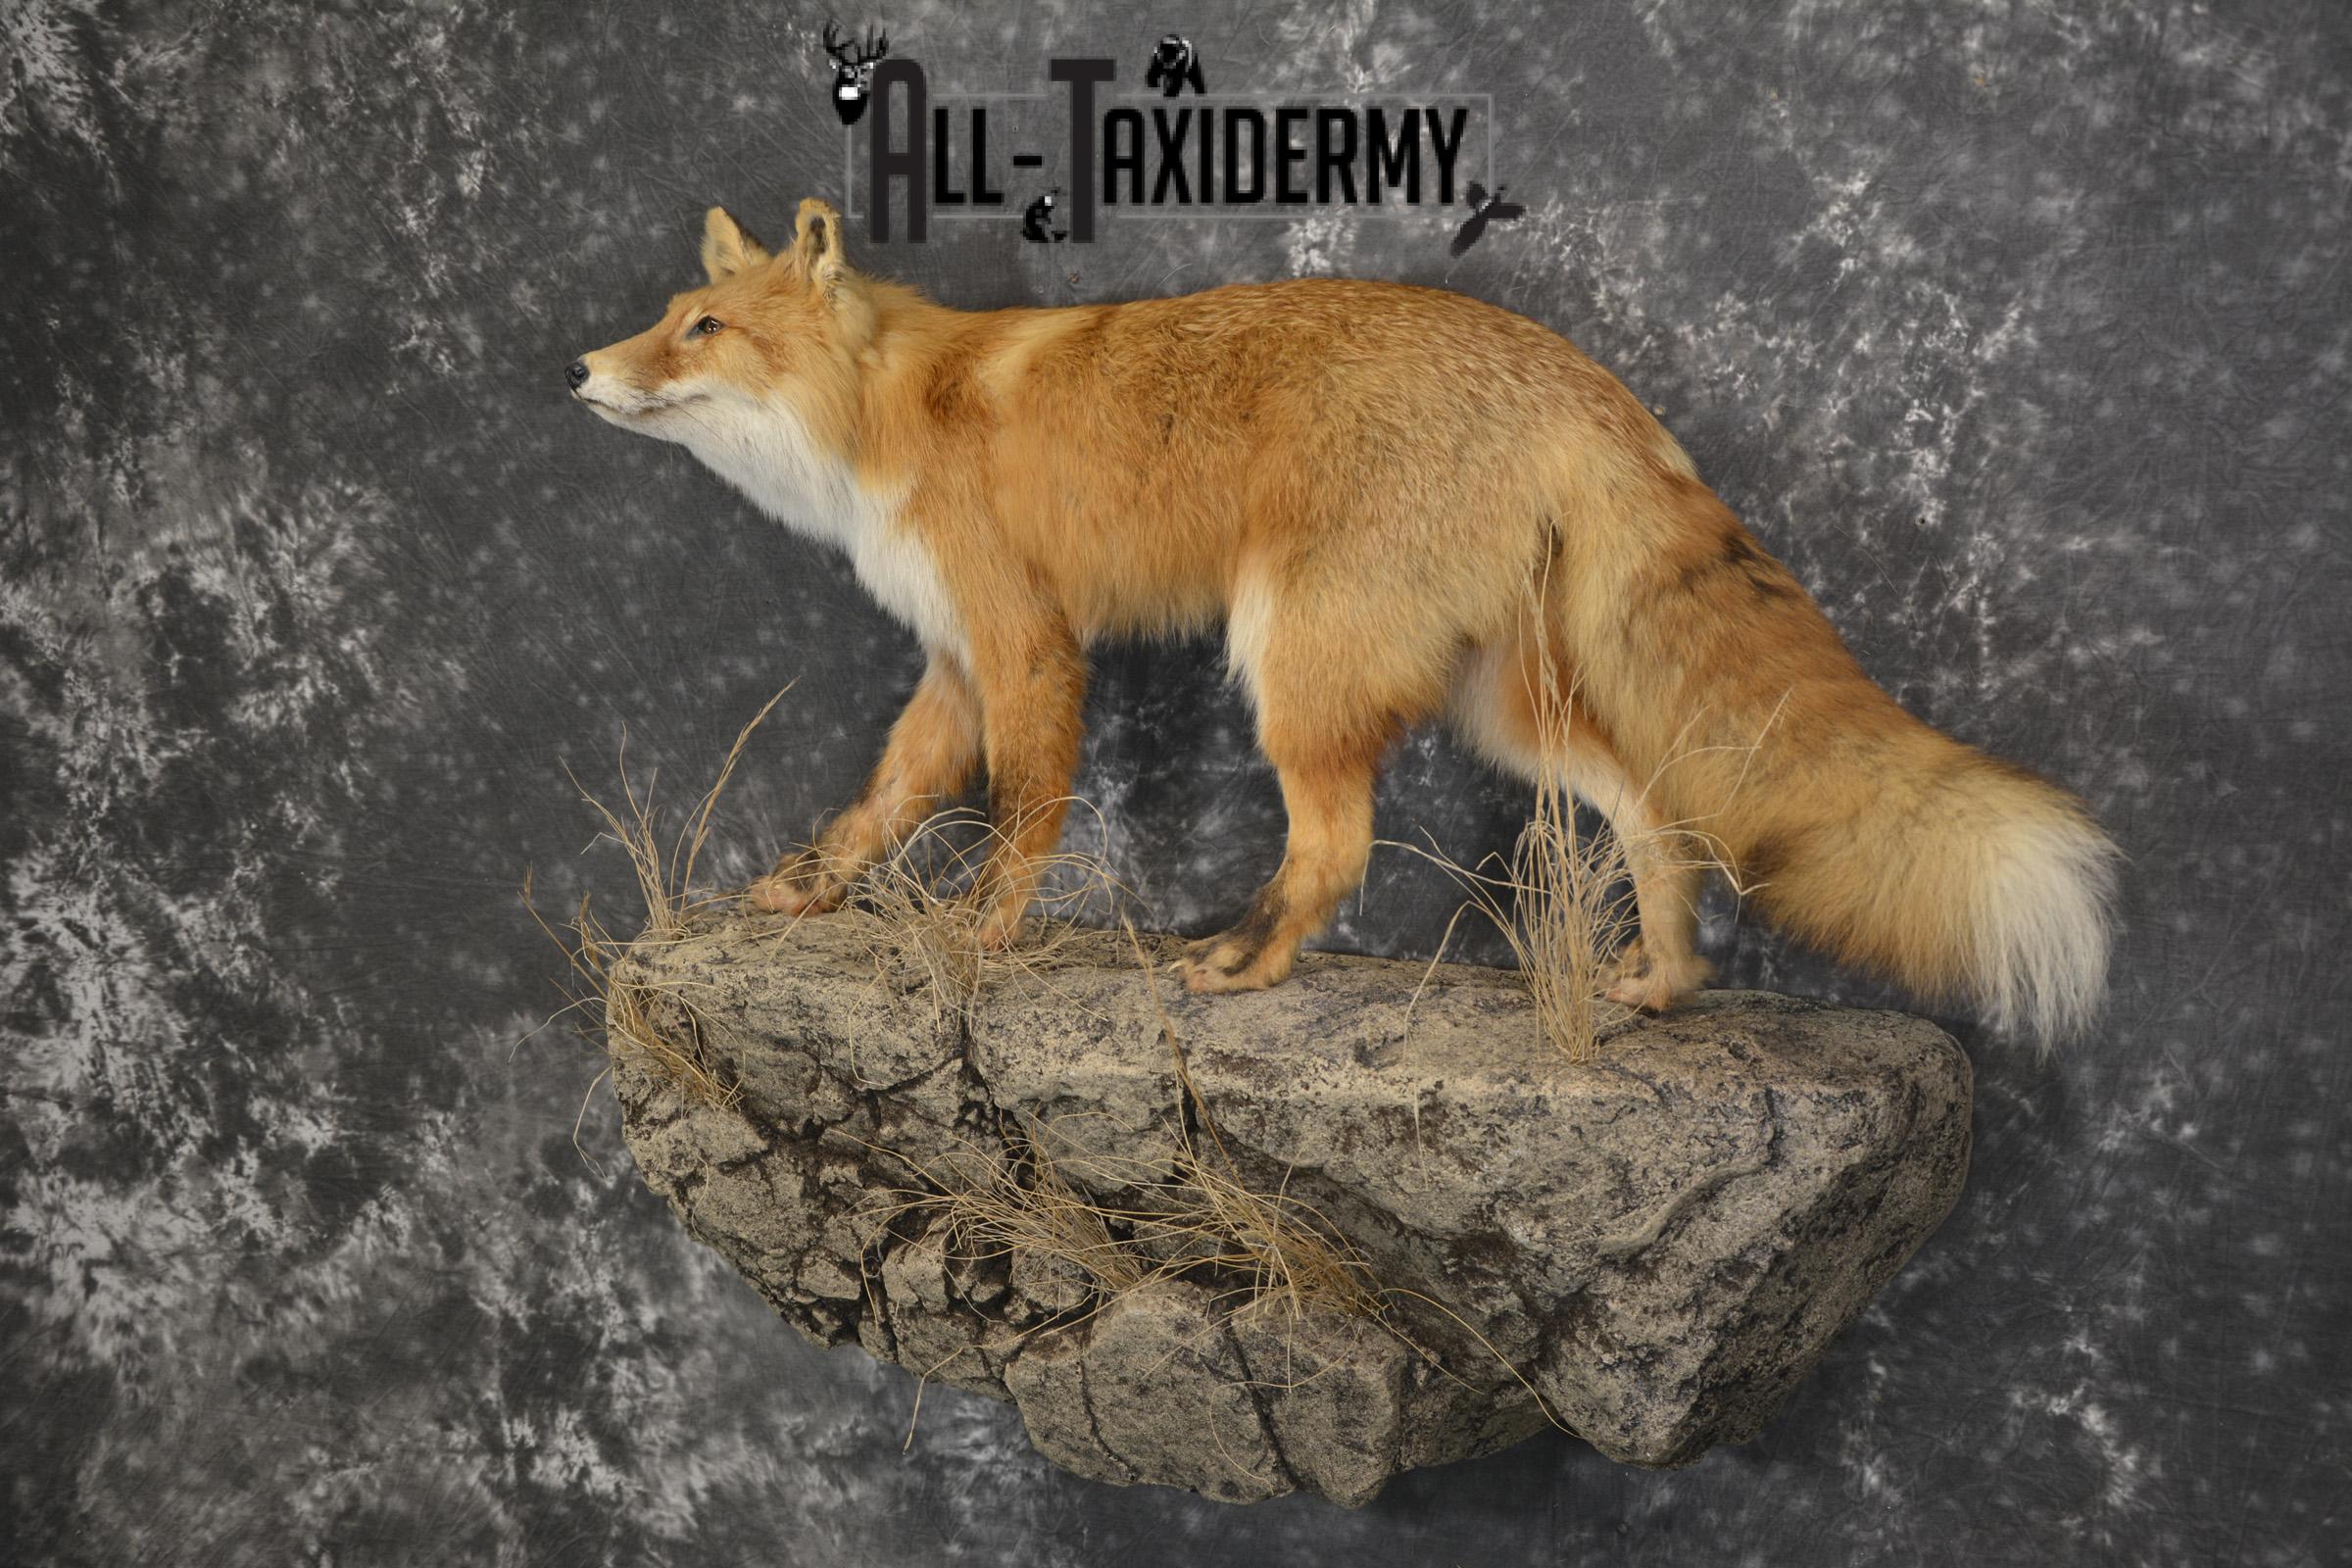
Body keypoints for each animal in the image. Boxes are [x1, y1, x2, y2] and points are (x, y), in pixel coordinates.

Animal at [567, 198, 2121, 1043]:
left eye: (702, 329)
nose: (581, 368)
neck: (891, 412)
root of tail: (1576, 378)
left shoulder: (1023, 643)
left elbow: (1022, 815)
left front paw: (978, 941)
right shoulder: (952, 657)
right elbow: (880, 801)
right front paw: (812, 893)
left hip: (1295, 662)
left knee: (1342, 842)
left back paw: (1247, 963)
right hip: (1503, 706)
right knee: (1650, 808)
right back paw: (1667, 980)